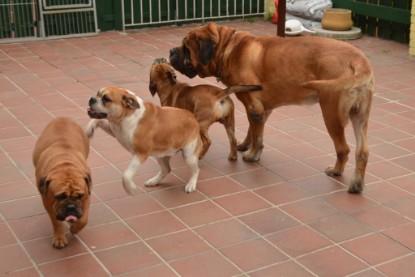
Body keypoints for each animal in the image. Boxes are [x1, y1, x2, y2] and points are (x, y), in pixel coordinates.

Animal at [33, 116, 92, 248]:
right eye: (60, 196)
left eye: (79, 196)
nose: (71, 206)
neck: (65, 164)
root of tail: (63, 117)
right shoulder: (48, 202)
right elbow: (56, 222)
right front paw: (59, 238)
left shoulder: (87, 196)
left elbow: (84, 219)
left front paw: (75, 228)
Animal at [171, 22, 376, 193]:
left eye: (186, 48)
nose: (172, 51)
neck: (228, 48)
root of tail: (358, 59)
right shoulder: (262, 109)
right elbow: (253, 131)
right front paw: (245, 145)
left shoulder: (254, 107)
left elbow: (257, 137)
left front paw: (252, 155)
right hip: (360, 118)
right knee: (362, 152)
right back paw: (357, 184)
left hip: (331, 114)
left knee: (343, 149)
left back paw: (336, 171)